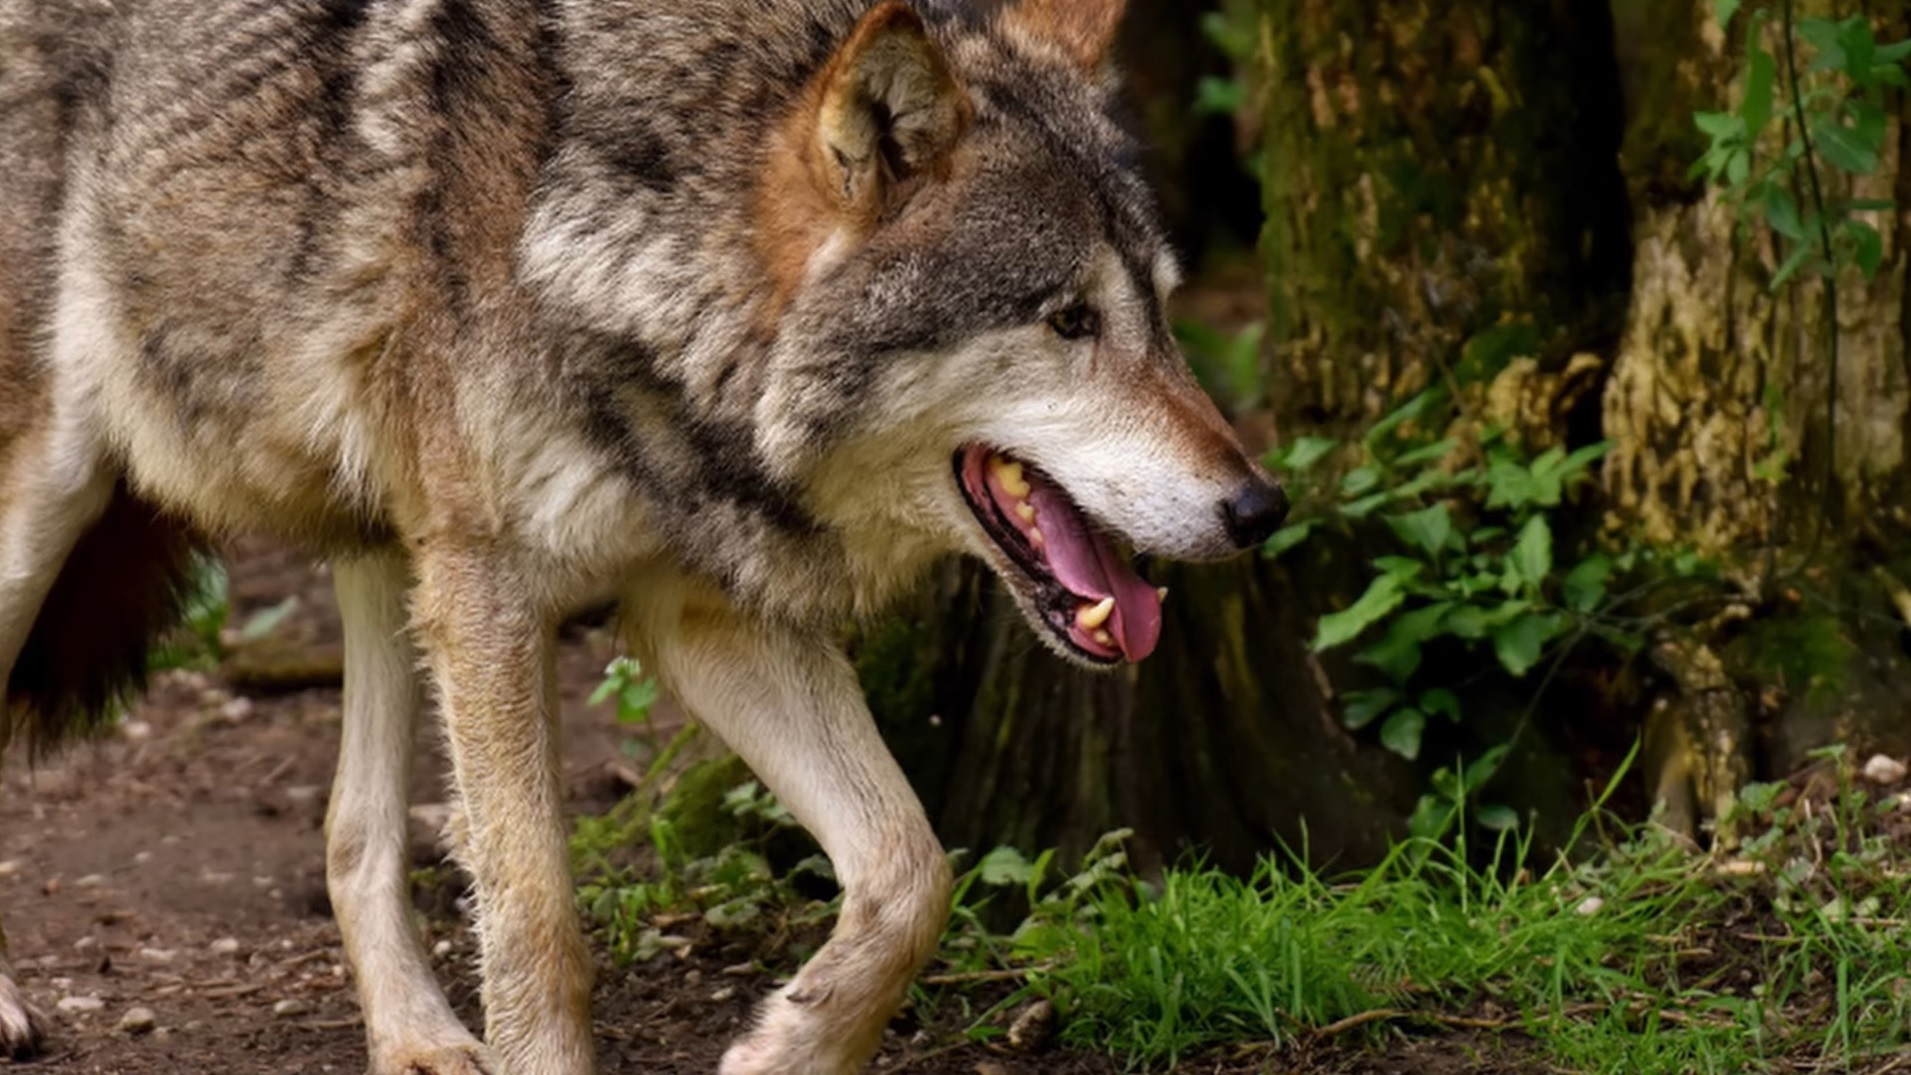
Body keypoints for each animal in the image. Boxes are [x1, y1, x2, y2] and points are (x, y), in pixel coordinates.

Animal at [0, 0, 1287, 1070]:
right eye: (1068, 319)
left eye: (1162, 314)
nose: (1260, 508)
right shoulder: (494, 594)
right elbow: (539, 925)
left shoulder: (695, 611)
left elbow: (911, 871)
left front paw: (790, 1048)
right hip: (55, 496)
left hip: (387, 546)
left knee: (353, 831)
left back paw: (418, 1040)